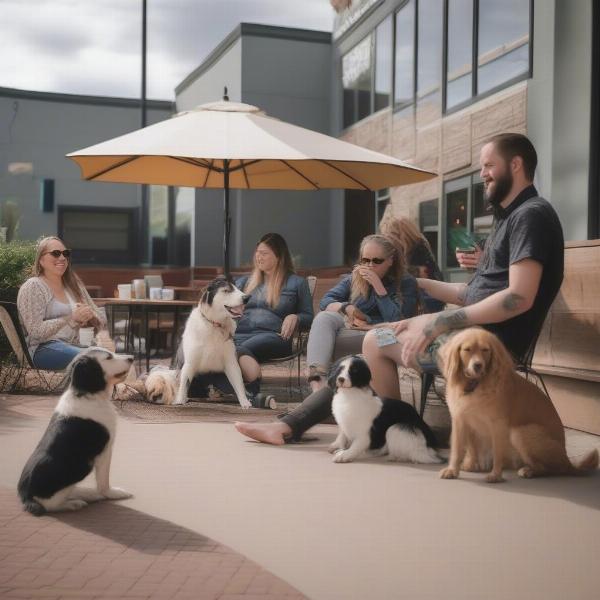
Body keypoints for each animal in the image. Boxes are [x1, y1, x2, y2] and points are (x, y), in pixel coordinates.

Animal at [17, 346, 135, 516]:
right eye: (108, 358)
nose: (132, 358)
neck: (88, 394)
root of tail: (25, 496)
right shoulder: (105, 451)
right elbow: (104, 481)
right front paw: (112, 493)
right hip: (75, 473)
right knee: (51, 505)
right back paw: (73, 503)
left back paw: (87, 493)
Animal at [170, 276, 252, 408]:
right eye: (226, 290)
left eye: (237, 288)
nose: (247, 298)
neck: (214, 324)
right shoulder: (189, 363)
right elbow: (184, 383)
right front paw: (179, 400)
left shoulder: (231, 362)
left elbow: (238, 382)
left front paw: (244, 401)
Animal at [438, 328, 596, 482]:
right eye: (467, 349)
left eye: (485, 350)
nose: (478, 365)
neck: (474, 385)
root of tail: (568, 461)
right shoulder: (461, 420)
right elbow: (459, 449)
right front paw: (457, 469)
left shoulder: (498, 424)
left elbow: (497, 452)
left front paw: (495, 475)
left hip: (519, 433)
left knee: (550, 469)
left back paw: (529, 471)